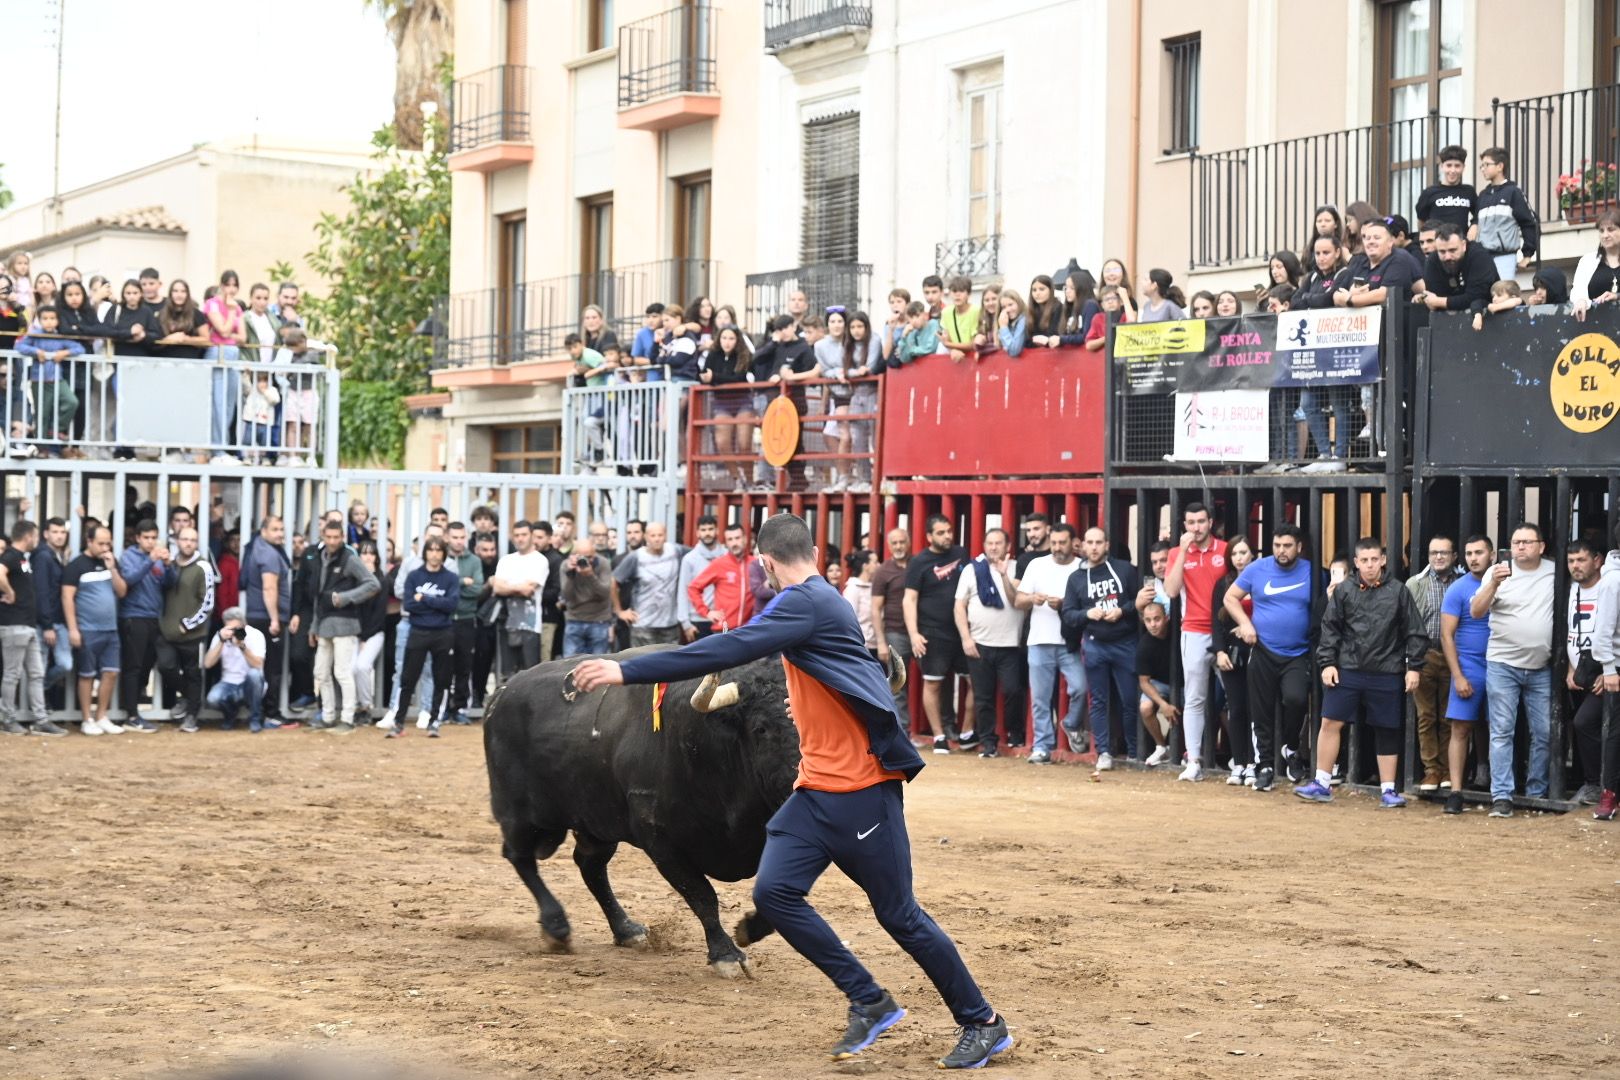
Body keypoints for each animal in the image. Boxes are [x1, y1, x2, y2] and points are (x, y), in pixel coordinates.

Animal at [482, 650, 913, 977]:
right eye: (761, 728)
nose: (804, 780)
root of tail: (501, 692)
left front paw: (747, 930)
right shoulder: (661, 841)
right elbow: (702, 895)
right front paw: (726, 954)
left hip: (595, 822)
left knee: (590, 865)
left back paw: (627, 930)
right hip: (519, 813)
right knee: (520, 857)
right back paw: (557, 926)